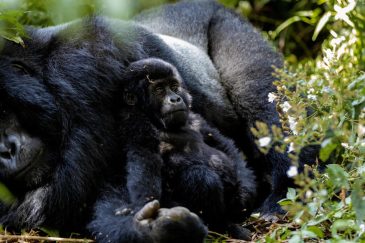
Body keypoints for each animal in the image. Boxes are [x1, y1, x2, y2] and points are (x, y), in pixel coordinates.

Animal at [116, 57, 256, 239]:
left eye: (174, 86)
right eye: (159, 89)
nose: (175, 99)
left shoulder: (195, 117)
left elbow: (222, 143)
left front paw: (245, 192)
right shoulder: (135, 122)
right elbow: (144, 160)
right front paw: (147, 216)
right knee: (200, 176)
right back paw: (224, 225)